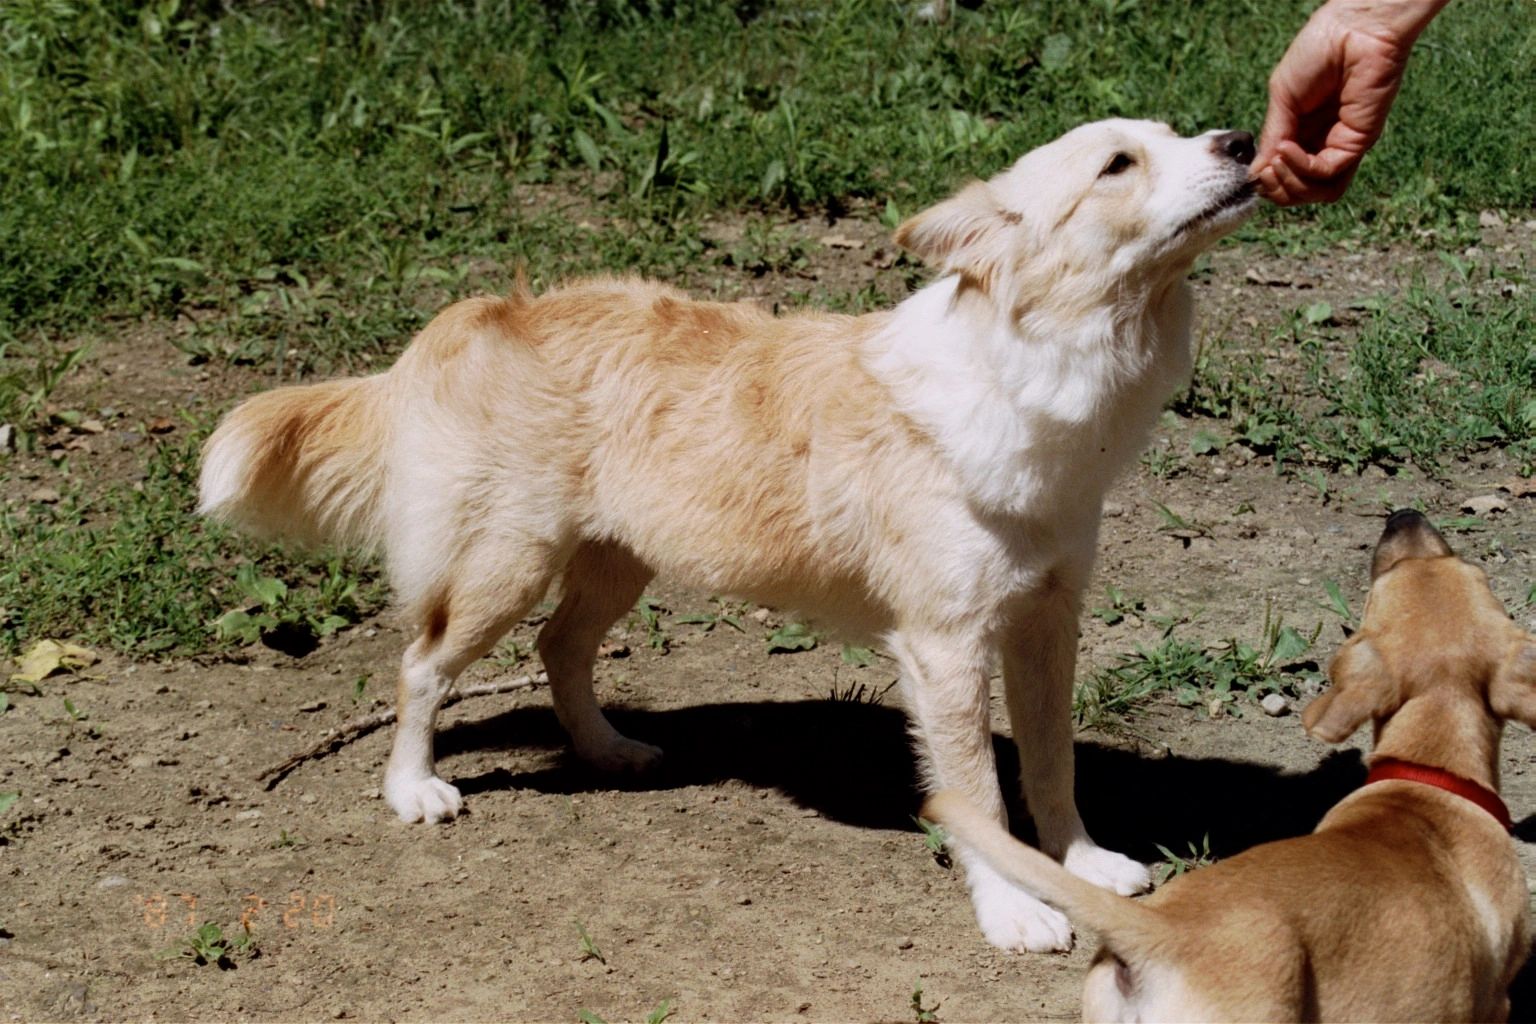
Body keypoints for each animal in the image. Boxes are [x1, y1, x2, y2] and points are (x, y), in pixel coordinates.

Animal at [201, 120, 1259, 951]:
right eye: (1118, 164)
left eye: (1174, 133)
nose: (1246, 140)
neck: (1033, 375)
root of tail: (490, 309)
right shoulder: (948, 649)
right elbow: (983, 797)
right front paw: (1013, 910)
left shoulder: (1046, 623)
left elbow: (1051, 762)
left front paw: (1080, 862)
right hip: (507, 569)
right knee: (422, 667)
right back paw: (413, 788)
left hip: (616, 567)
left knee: (559, 649)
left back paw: (607, 752)